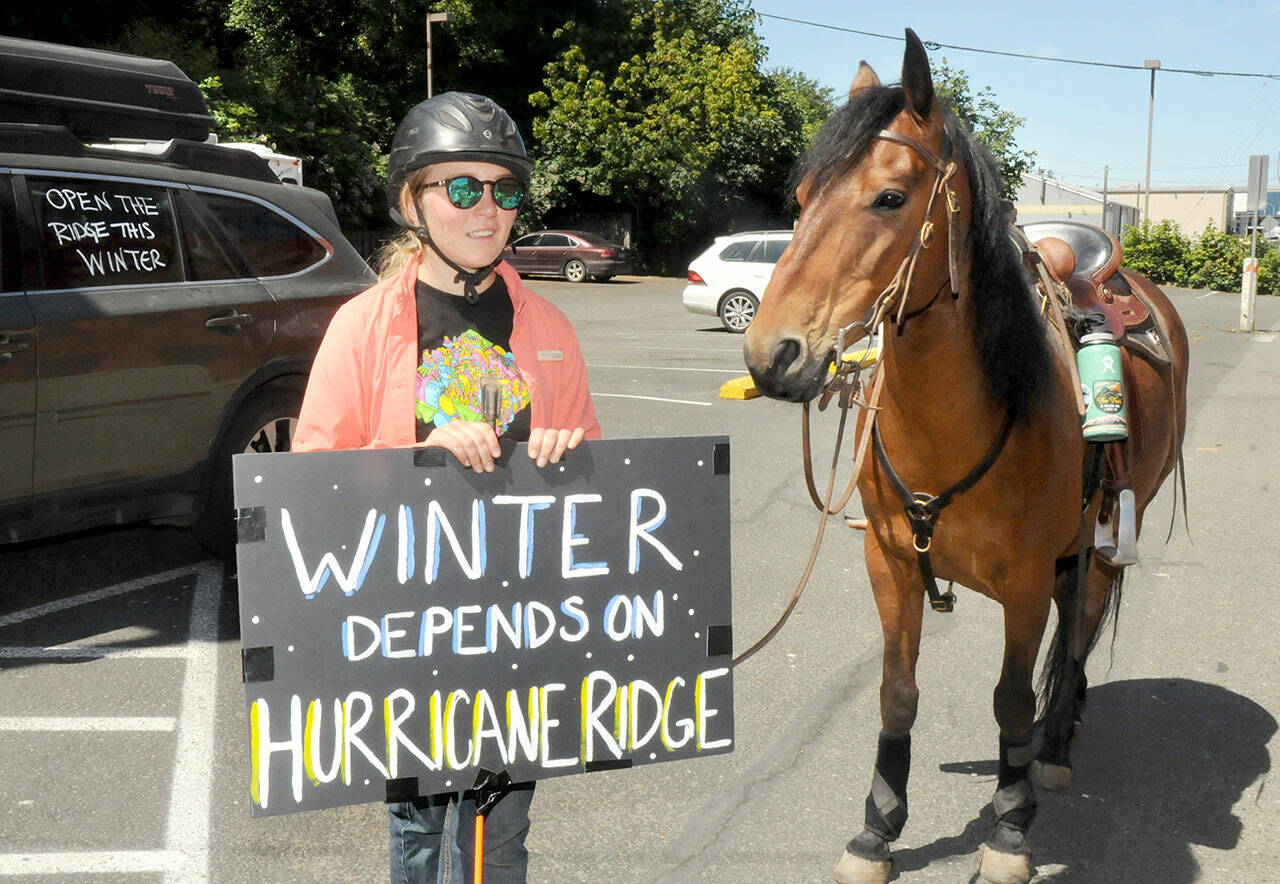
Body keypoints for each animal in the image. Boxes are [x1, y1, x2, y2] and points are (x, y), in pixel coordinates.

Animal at [742, 30, 1189, 884]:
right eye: (803, 196)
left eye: (889, 197)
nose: (772, 354)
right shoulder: (889, 564)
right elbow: (897, 693)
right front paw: (876, 830)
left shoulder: (1023, 581)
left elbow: (1009, 699)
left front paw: (1011, 831)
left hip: (1112, 531)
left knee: (1080, 625)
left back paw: (1053, 747)